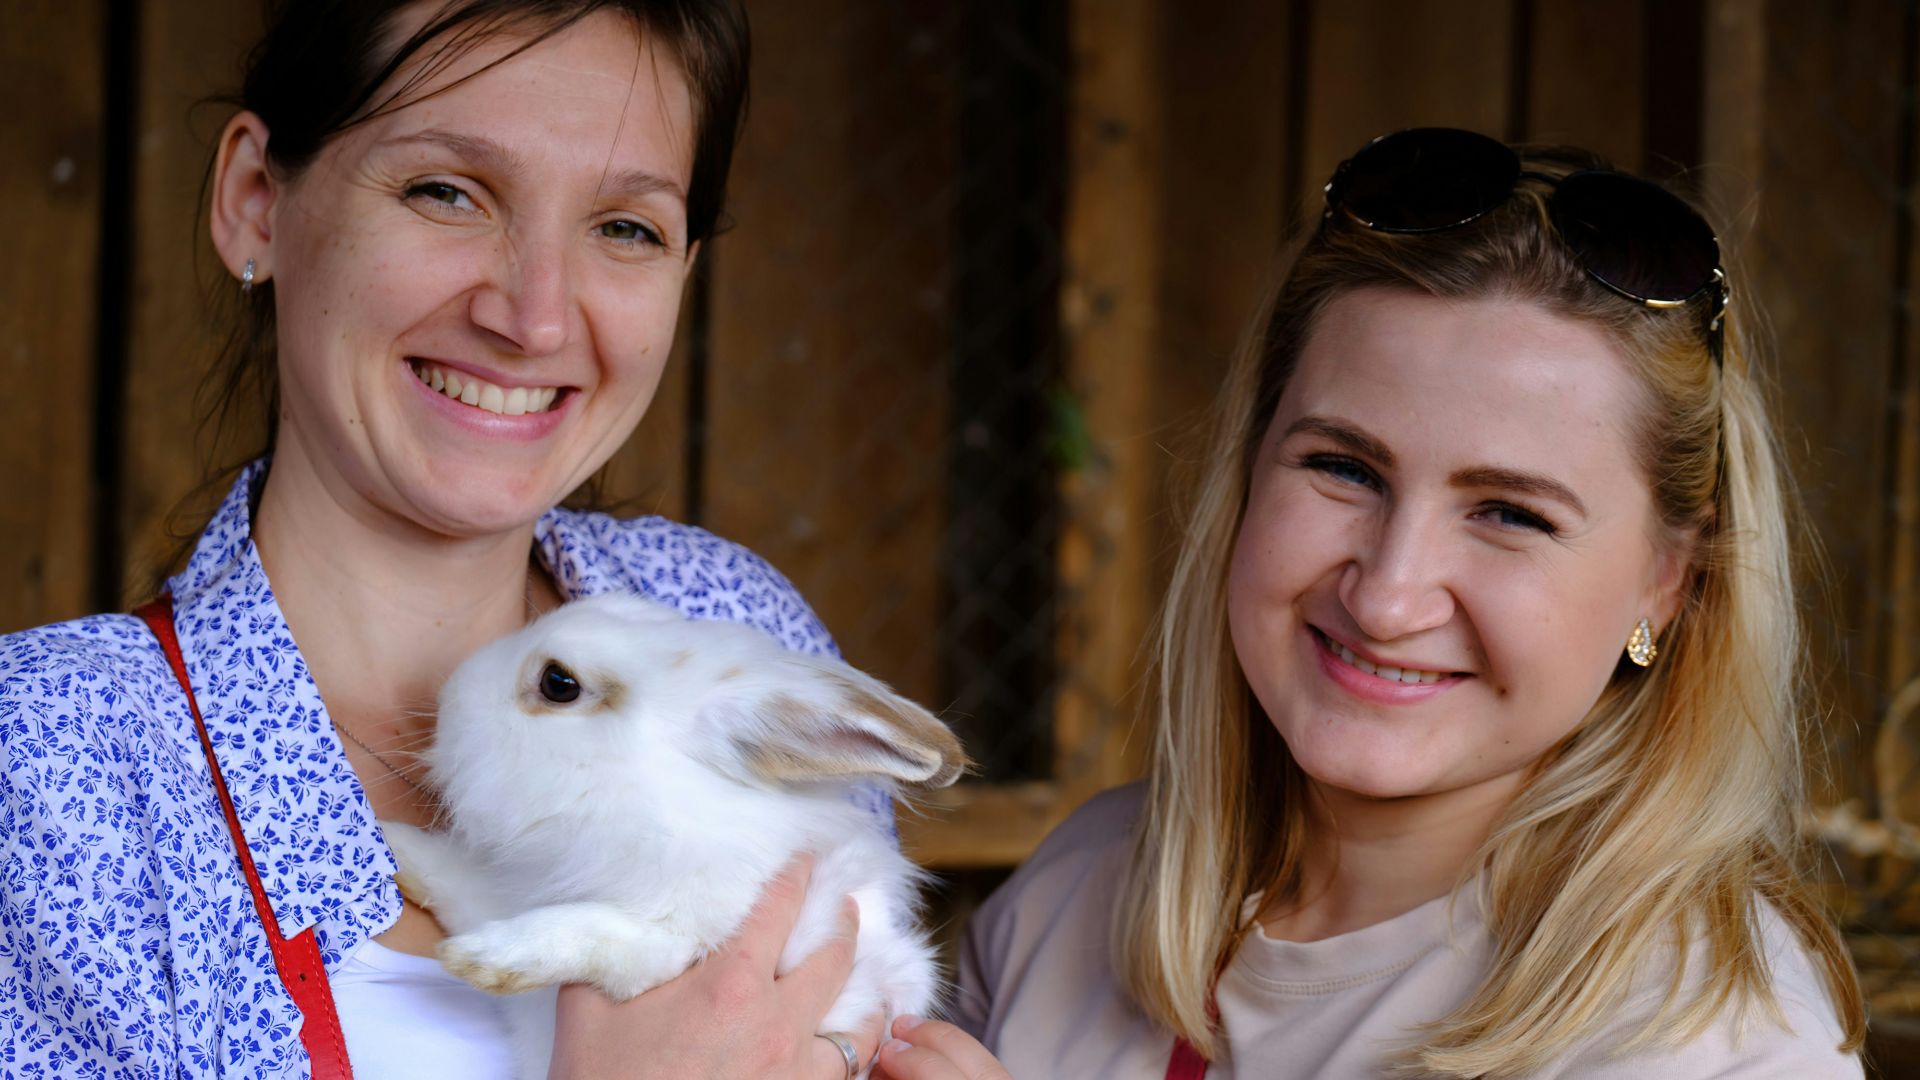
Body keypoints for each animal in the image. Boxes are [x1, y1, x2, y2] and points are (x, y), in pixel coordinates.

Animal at [381, 592, 970, 1079]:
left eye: (558, 683)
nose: (450, 696)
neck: (639, 791)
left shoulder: (680, 935)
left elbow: (591, 931)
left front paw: (486, 958)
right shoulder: (497, 893)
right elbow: (456, 880)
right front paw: (393, 845)